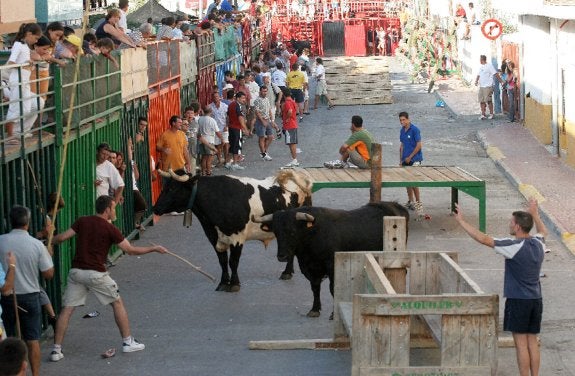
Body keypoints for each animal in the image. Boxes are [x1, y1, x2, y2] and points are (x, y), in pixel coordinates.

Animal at [153, 169, 312, 292]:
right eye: (164, 187)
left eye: (173, 188)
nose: (156, 208)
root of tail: (295, 173)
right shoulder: (213, 237)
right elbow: (222, 261)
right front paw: (223, 282)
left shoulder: (237, 237)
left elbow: (233, 261)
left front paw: (234, 284)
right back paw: (288, 272)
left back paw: (287, 272)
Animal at [256, 203, 410, 318]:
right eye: (276, 232)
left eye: (292, 231)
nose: (282, 256)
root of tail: (394, 206)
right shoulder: (310, 268)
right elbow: (315, 287)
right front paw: (315, 309)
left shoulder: (332, 267)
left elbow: (332, 289)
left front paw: (333, 314)